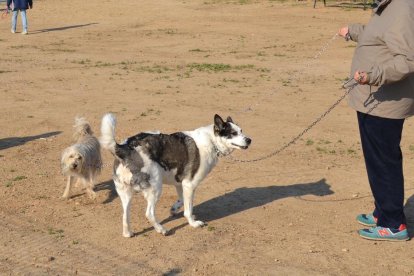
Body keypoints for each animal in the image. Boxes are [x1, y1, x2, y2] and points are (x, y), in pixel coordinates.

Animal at [100, 112, 251, 237]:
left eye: (241, 131)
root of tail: (124, 148)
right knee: (149, 213)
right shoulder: (190, 184)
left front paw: (174, 209)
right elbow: (188, 209)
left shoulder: (180, 183)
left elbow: (182, 200)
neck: (212, 141)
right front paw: (193, 223)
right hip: (155, 189)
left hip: (125, 193)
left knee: (125, 215)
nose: (249, 140)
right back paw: (161, 229)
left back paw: (128, 233)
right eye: (233, 133)